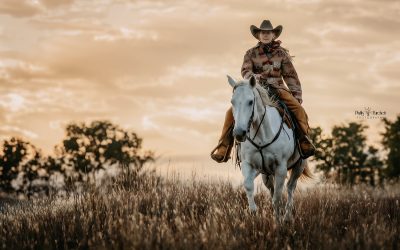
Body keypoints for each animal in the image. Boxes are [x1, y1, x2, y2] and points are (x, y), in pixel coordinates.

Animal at [227, 74, 310, 223]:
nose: (239, 133)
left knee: (290, 187)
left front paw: (278, 223)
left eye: (250, 102)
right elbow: (249, 186)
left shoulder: (281, 168)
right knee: (272, 189)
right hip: (266, 173)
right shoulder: (248, 164)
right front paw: (254, 214)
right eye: (232, 102)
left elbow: (277, 198)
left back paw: (287, 217)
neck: (262, 134)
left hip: (299, 166)